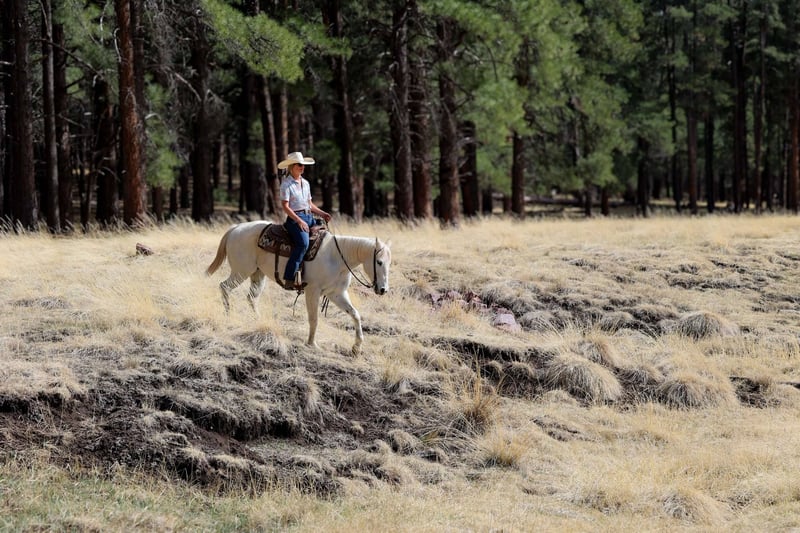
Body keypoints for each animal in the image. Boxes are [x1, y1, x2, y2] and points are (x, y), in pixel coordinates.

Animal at [206, 221, 391, 355]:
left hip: (257, 275)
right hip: (241, 271)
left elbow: (355, 314)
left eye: (389, 263)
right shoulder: (313, 291)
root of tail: (236, 228)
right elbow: (314, 318)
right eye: (379, 262)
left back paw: (257, 320)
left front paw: (357, 347)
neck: (337, 257)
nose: (383, 290)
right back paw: (228, 316)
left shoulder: (336, 294)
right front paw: (312, 343)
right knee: (224, 287)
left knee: (251, 298)